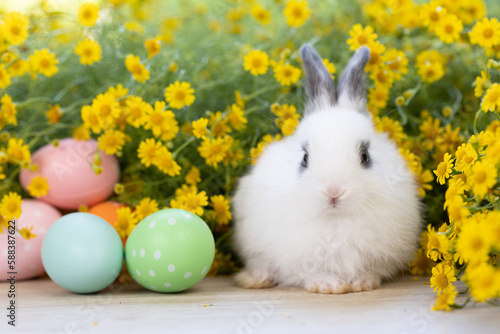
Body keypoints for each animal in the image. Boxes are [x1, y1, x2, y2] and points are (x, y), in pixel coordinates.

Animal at [232, 43, 420, 294]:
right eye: (304, 158)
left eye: (365, 155)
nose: (333, 191)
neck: (335, 220)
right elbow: (308, 273)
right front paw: (328, 285)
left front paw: (362, 283)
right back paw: (257, 279)